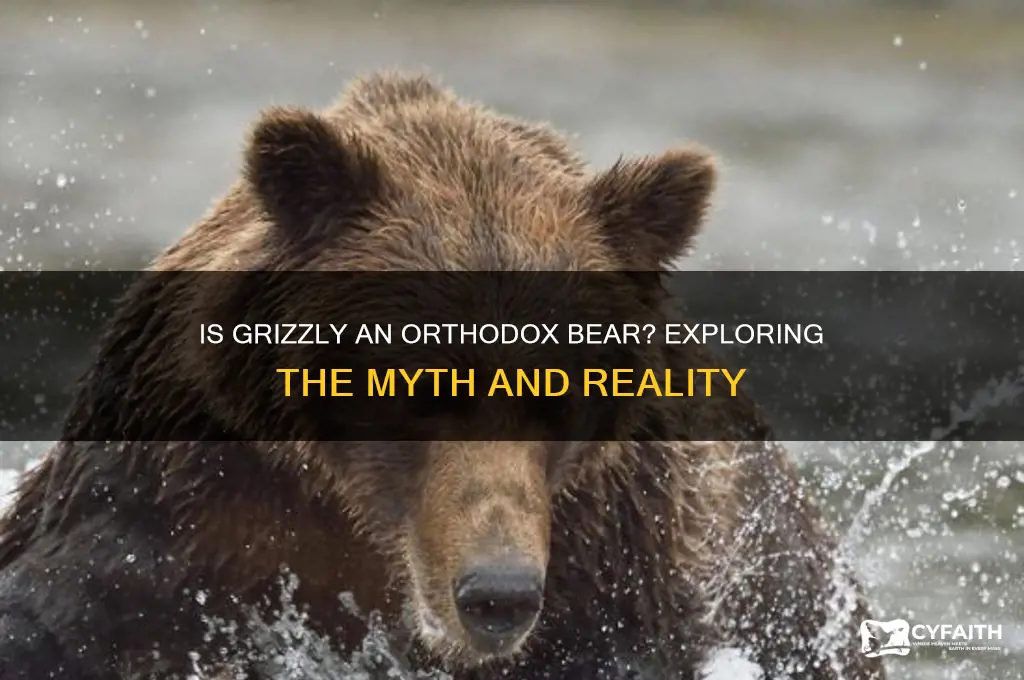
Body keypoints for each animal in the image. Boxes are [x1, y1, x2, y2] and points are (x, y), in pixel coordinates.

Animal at [0, 72, 886, 680]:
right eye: (422, 379)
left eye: (561, 388)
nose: (497, 593)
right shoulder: (176, 500)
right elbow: (64, 606)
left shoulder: (620, 557)